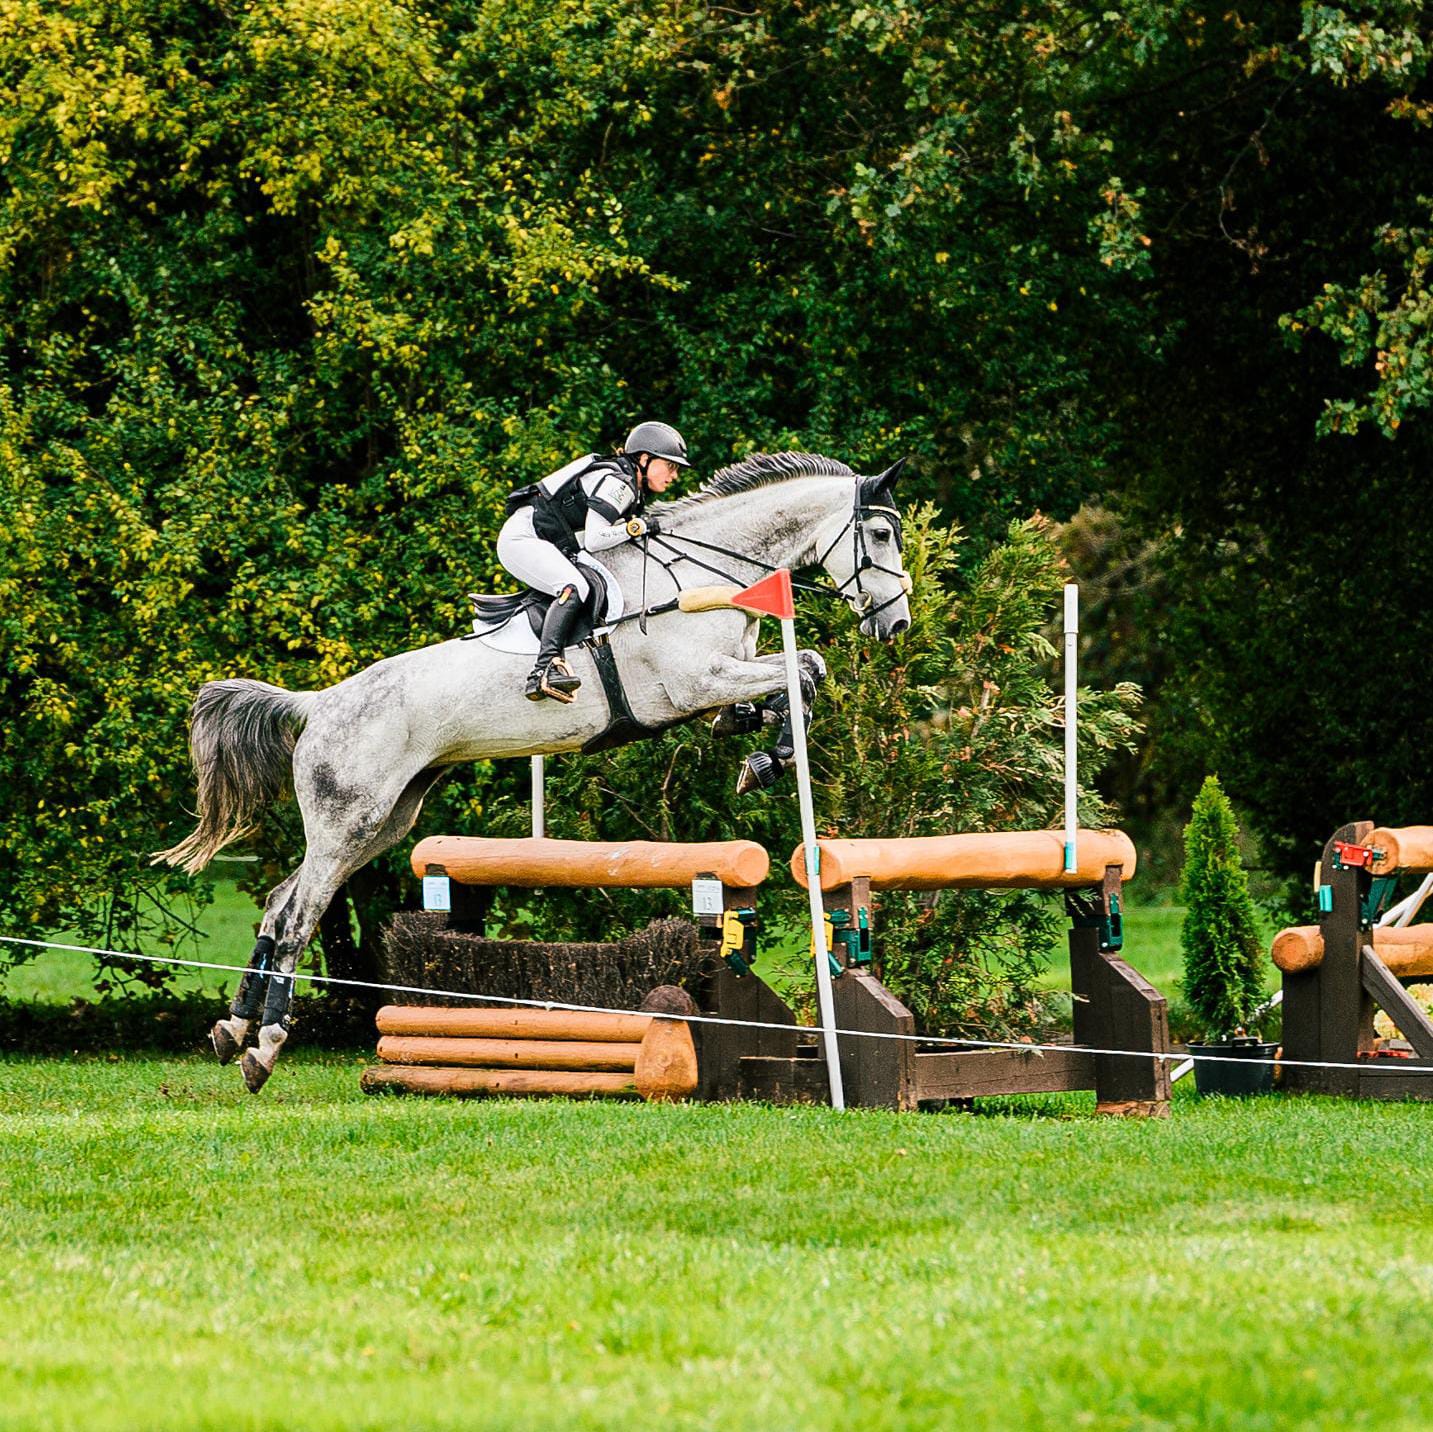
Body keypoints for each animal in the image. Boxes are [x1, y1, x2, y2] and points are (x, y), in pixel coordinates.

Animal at [154, 452, 905, 1089]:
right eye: (879, 533)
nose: (893, 625)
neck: (698, 576)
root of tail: (318, 703)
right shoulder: (694, 682)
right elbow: (801, 669)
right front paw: (769, 755)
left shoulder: (723, 676)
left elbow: (801, 670)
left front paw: (761, 747)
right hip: (350, 818)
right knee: (300, 913)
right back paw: (266, 1044)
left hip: (386, 820)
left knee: (282, 901)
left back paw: (232, 1029)